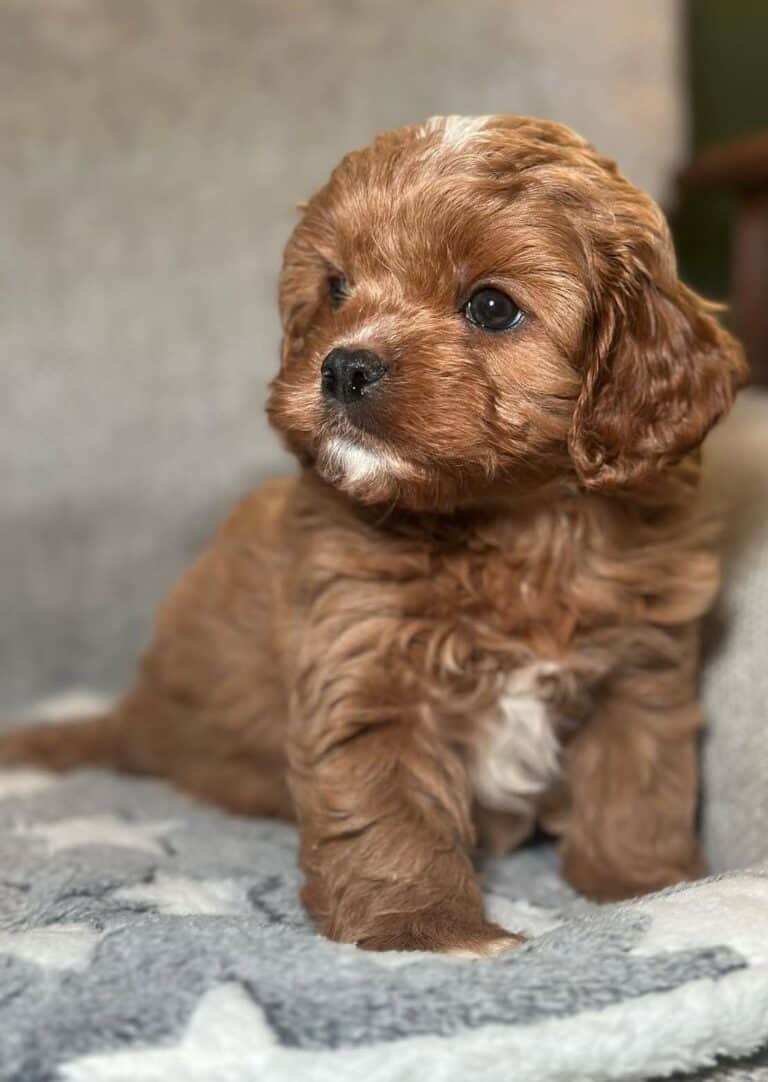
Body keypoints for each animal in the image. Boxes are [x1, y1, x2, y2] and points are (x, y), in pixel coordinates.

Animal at [0, 114, 744, 952]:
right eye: (336, 288)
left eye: (492, 307)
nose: (343, 367)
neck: (512, 525)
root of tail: (135, 714)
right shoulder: (367, 664)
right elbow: (389, 812)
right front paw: (427, 931)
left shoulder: (641, 663)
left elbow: (639, 778)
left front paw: (645, 885)